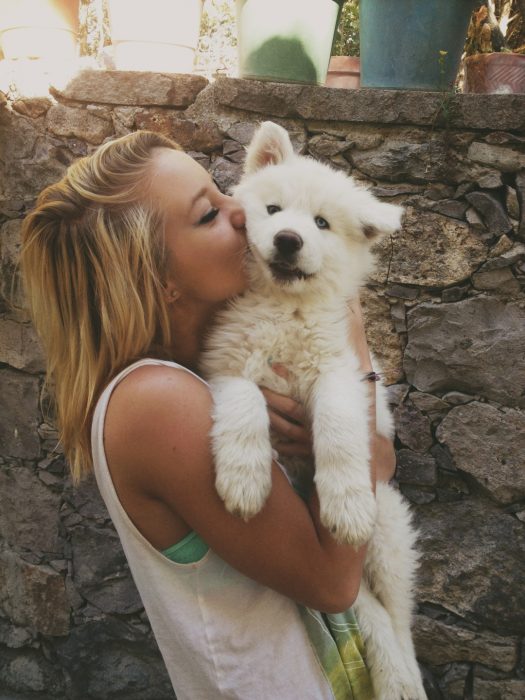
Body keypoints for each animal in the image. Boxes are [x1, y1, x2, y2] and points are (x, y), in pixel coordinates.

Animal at [201, 121, 426, 700]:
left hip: (387, 532)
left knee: (397, 617)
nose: (288, 239)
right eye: (274, 210)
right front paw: (244, 481)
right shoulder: (224, 368)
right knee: (365, 608)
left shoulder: (340, 373)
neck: (283, 307)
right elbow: (244, 407)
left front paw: (345, 505)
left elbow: (339, 430)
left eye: (322, 223)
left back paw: (405, 675)